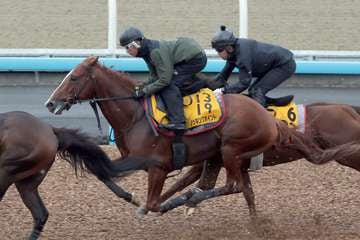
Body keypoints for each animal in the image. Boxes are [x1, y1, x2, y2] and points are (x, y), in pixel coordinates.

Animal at [45, 56, 360, 218]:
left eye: (74, 77)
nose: (50, 103)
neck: (136, 115)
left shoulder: (158, 164)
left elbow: (161, 196)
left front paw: (169, 203)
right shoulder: (202, 162)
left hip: (233, 149)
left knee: (231, 185)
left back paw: (190, 198)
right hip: (231, 155)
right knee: (235, 186)